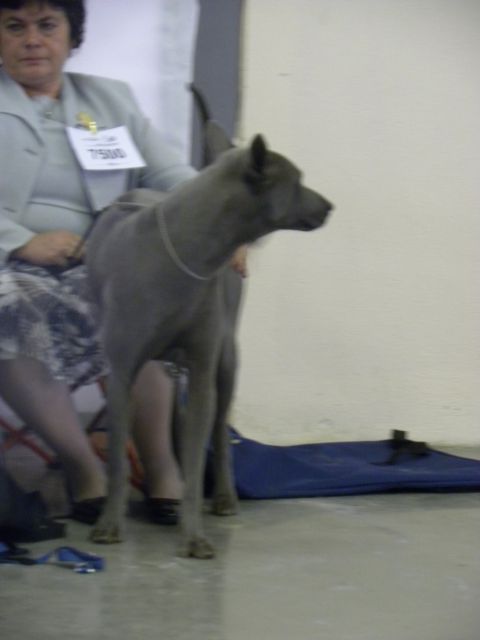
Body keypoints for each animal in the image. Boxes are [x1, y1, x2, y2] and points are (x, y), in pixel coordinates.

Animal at [86, 132, 332, 556]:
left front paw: (194, 535)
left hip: (227, 359)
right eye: (298, 181)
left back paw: (224, 496)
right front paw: (109, 524)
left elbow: (197, 448)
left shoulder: (202, 370)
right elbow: (117, 459)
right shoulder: (121, 373)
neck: (188, 252)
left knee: (219, 428)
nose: (331, 206)